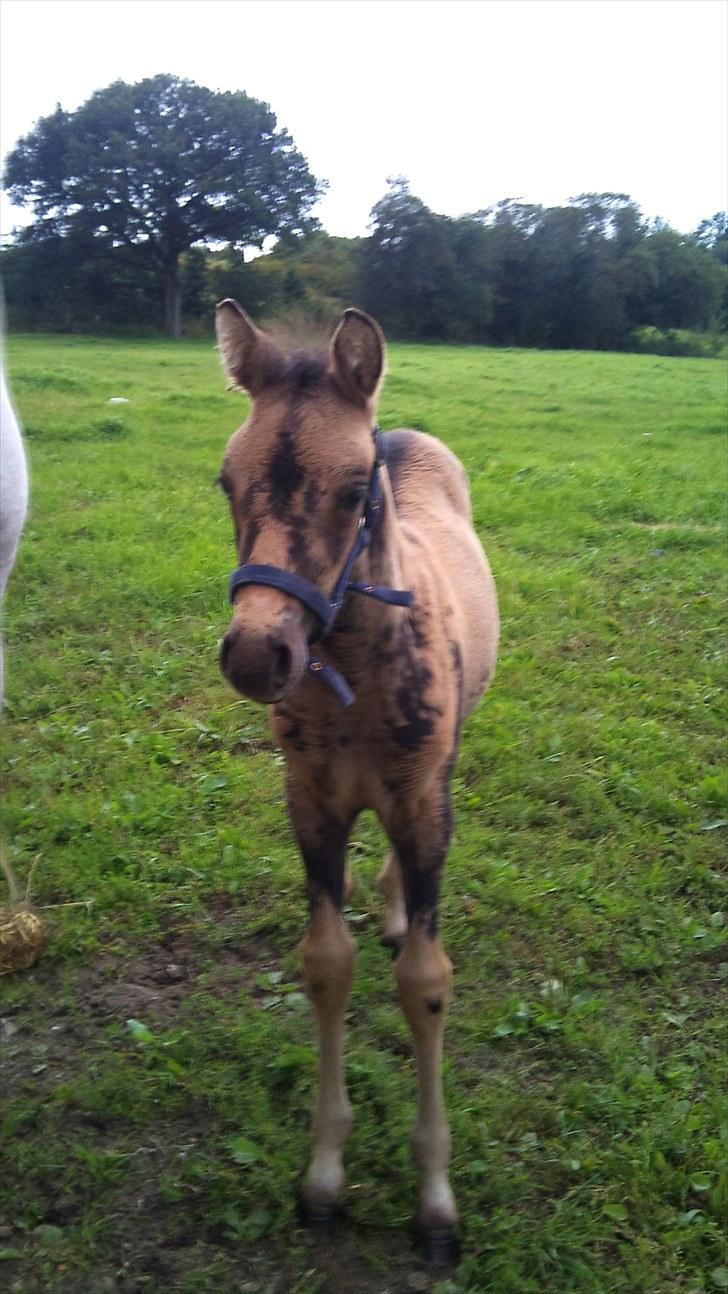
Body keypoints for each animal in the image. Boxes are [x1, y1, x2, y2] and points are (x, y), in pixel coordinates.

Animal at [215, 300, 501, 1252]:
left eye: (353, 492)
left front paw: (436, 1199)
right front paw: (325, 1176)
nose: (256, 654)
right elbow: (325, 962)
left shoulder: (422, 801)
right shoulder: (309, 801)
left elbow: (426, 982)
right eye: (225, 483)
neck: (354, 675)